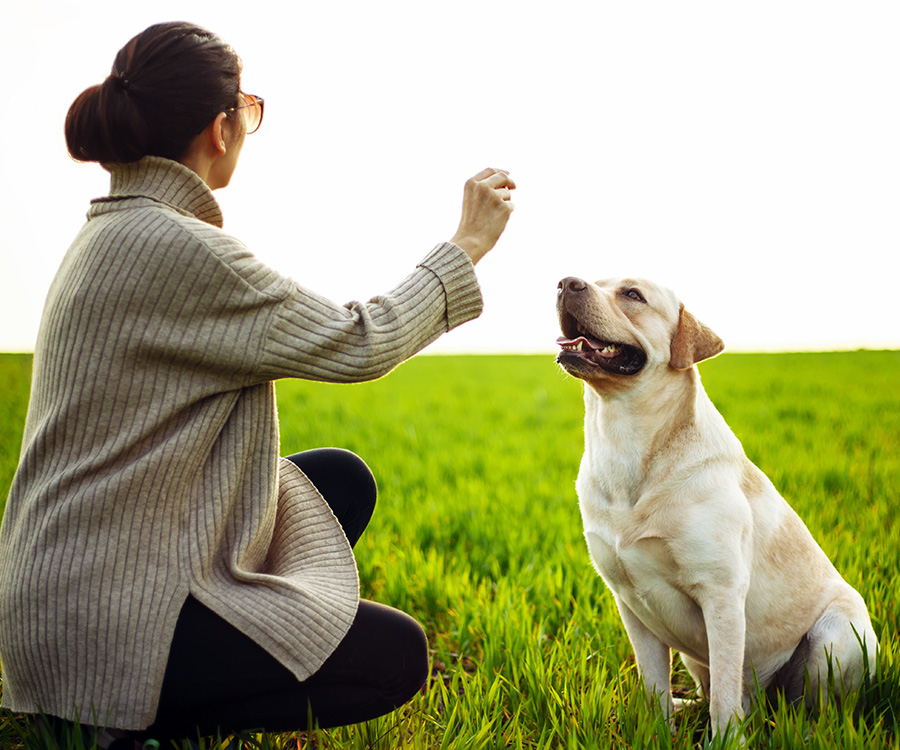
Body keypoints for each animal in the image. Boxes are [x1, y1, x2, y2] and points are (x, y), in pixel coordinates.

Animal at [556, 278, 880, 740]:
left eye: (632, 294)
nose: (567, 282)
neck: (624, 439)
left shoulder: (721, 594)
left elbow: (726, 700)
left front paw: (726, 740)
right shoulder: (629, 603)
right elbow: (655, 687)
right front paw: (659, 732)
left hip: (837, 635)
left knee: (813, 710)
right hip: (694, 657)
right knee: (713, 694)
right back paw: (686, 706)